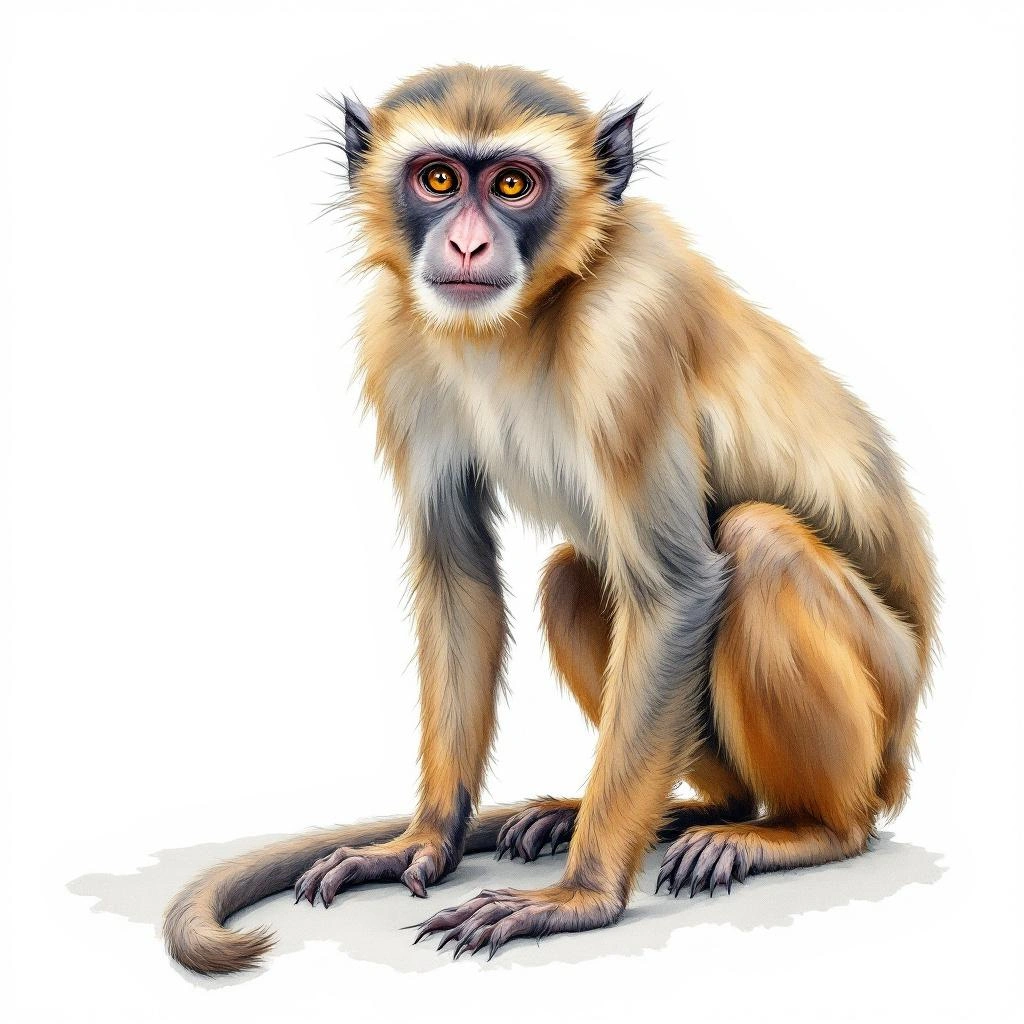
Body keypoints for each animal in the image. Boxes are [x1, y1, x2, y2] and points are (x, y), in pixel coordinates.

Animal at [163, 64, 937, 973]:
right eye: (438, 179)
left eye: (512, 185)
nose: (466, 246)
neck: (523, 318)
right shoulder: (397, 336)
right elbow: (457, 574)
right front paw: (424, 840)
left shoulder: (629, 330)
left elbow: (678, 589)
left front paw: (582, 897)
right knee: (577, 575)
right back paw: (702, 808)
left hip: (882, 700)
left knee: (757, 543)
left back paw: (809, 829)